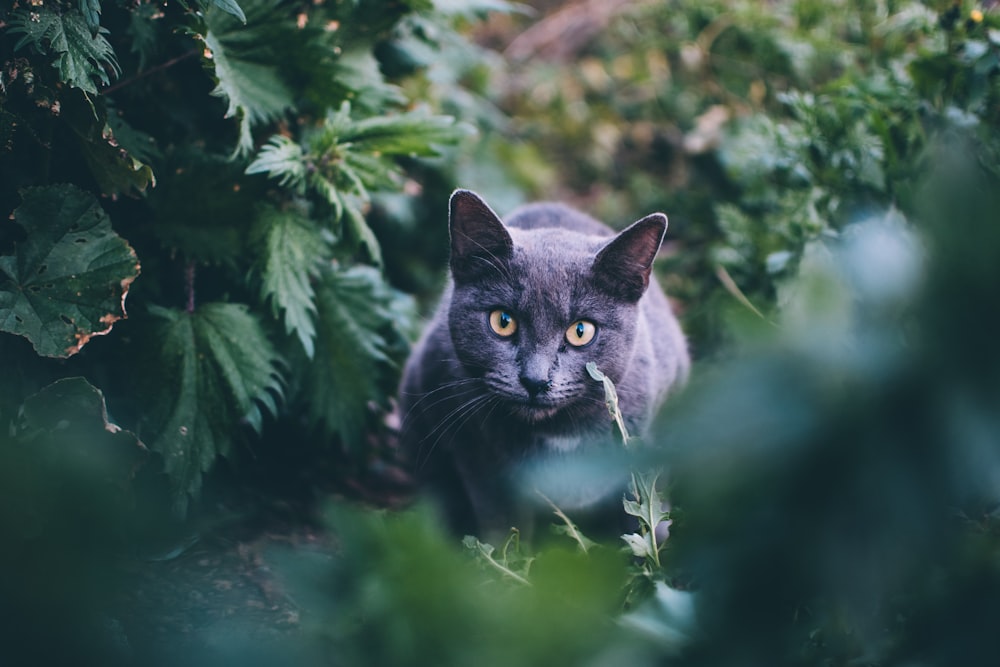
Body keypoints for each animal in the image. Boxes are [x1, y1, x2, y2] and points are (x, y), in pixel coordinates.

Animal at [398, 189, 688, 544]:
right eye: (503, 321)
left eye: (581, 331)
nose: (535, 380)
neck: (557, 433)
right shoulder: (473, 451)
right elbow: (503, 523)